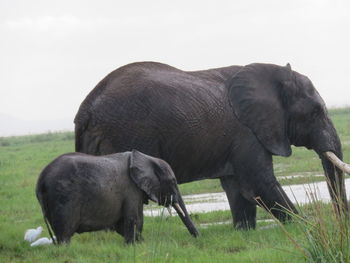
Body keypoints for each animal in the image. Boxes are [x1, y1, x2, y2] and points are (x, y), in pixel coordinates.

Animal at [37, 151, 200, 245]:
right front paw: (134, 245)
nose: (198, 238)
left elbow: (124, 224)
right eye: (172, 182)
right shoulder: (131, 189)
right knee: (64, 232)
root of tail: (41, 179)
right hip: (63, 198)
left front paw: (139, 243)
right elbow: (134, 219)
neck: (146, 158)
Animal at [74, 62, 348, 231]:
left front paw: (244, 231)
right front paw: (307, 226)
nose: (342, 223)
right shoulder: (247, 132)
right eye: (316, 112)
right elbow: (258, 184)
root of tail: (87, 107)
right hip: (128, 132)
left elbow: (238, 188)